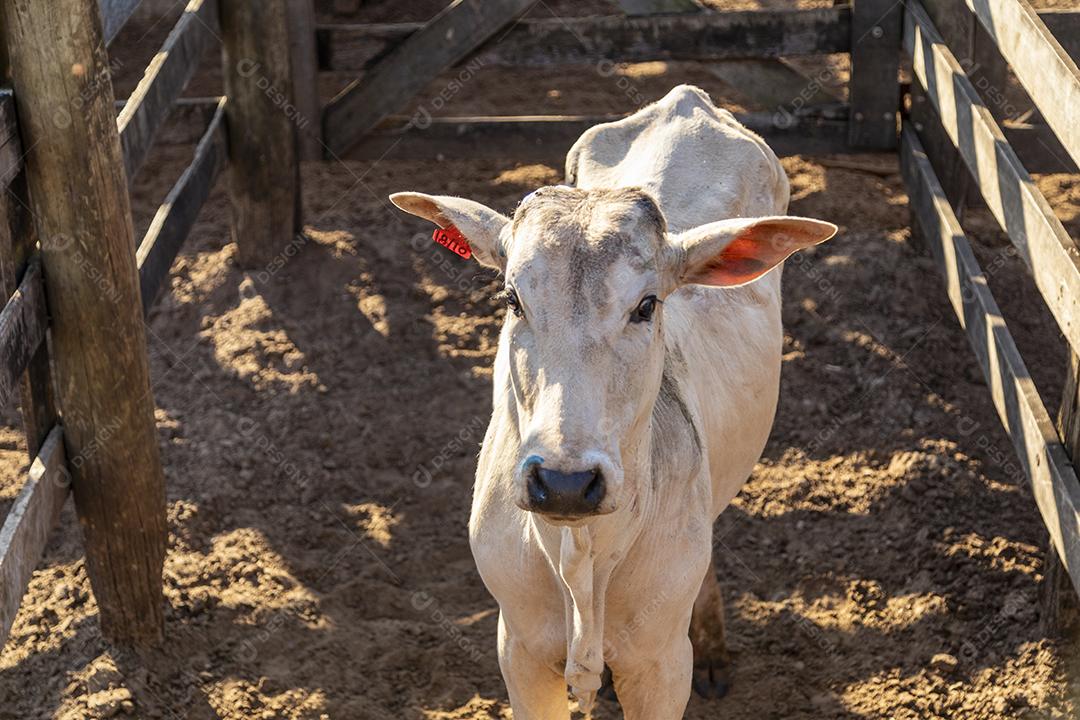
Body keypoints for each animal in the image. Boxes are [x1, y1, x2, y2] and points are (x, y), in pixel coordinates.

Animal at [390, 84, 836, 719]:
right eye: (513, 299)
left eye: (646, 306)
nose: (565, 482)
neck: (583, 560)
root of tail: (686, 99)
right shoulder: (519, 650)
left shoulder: (661, 667)